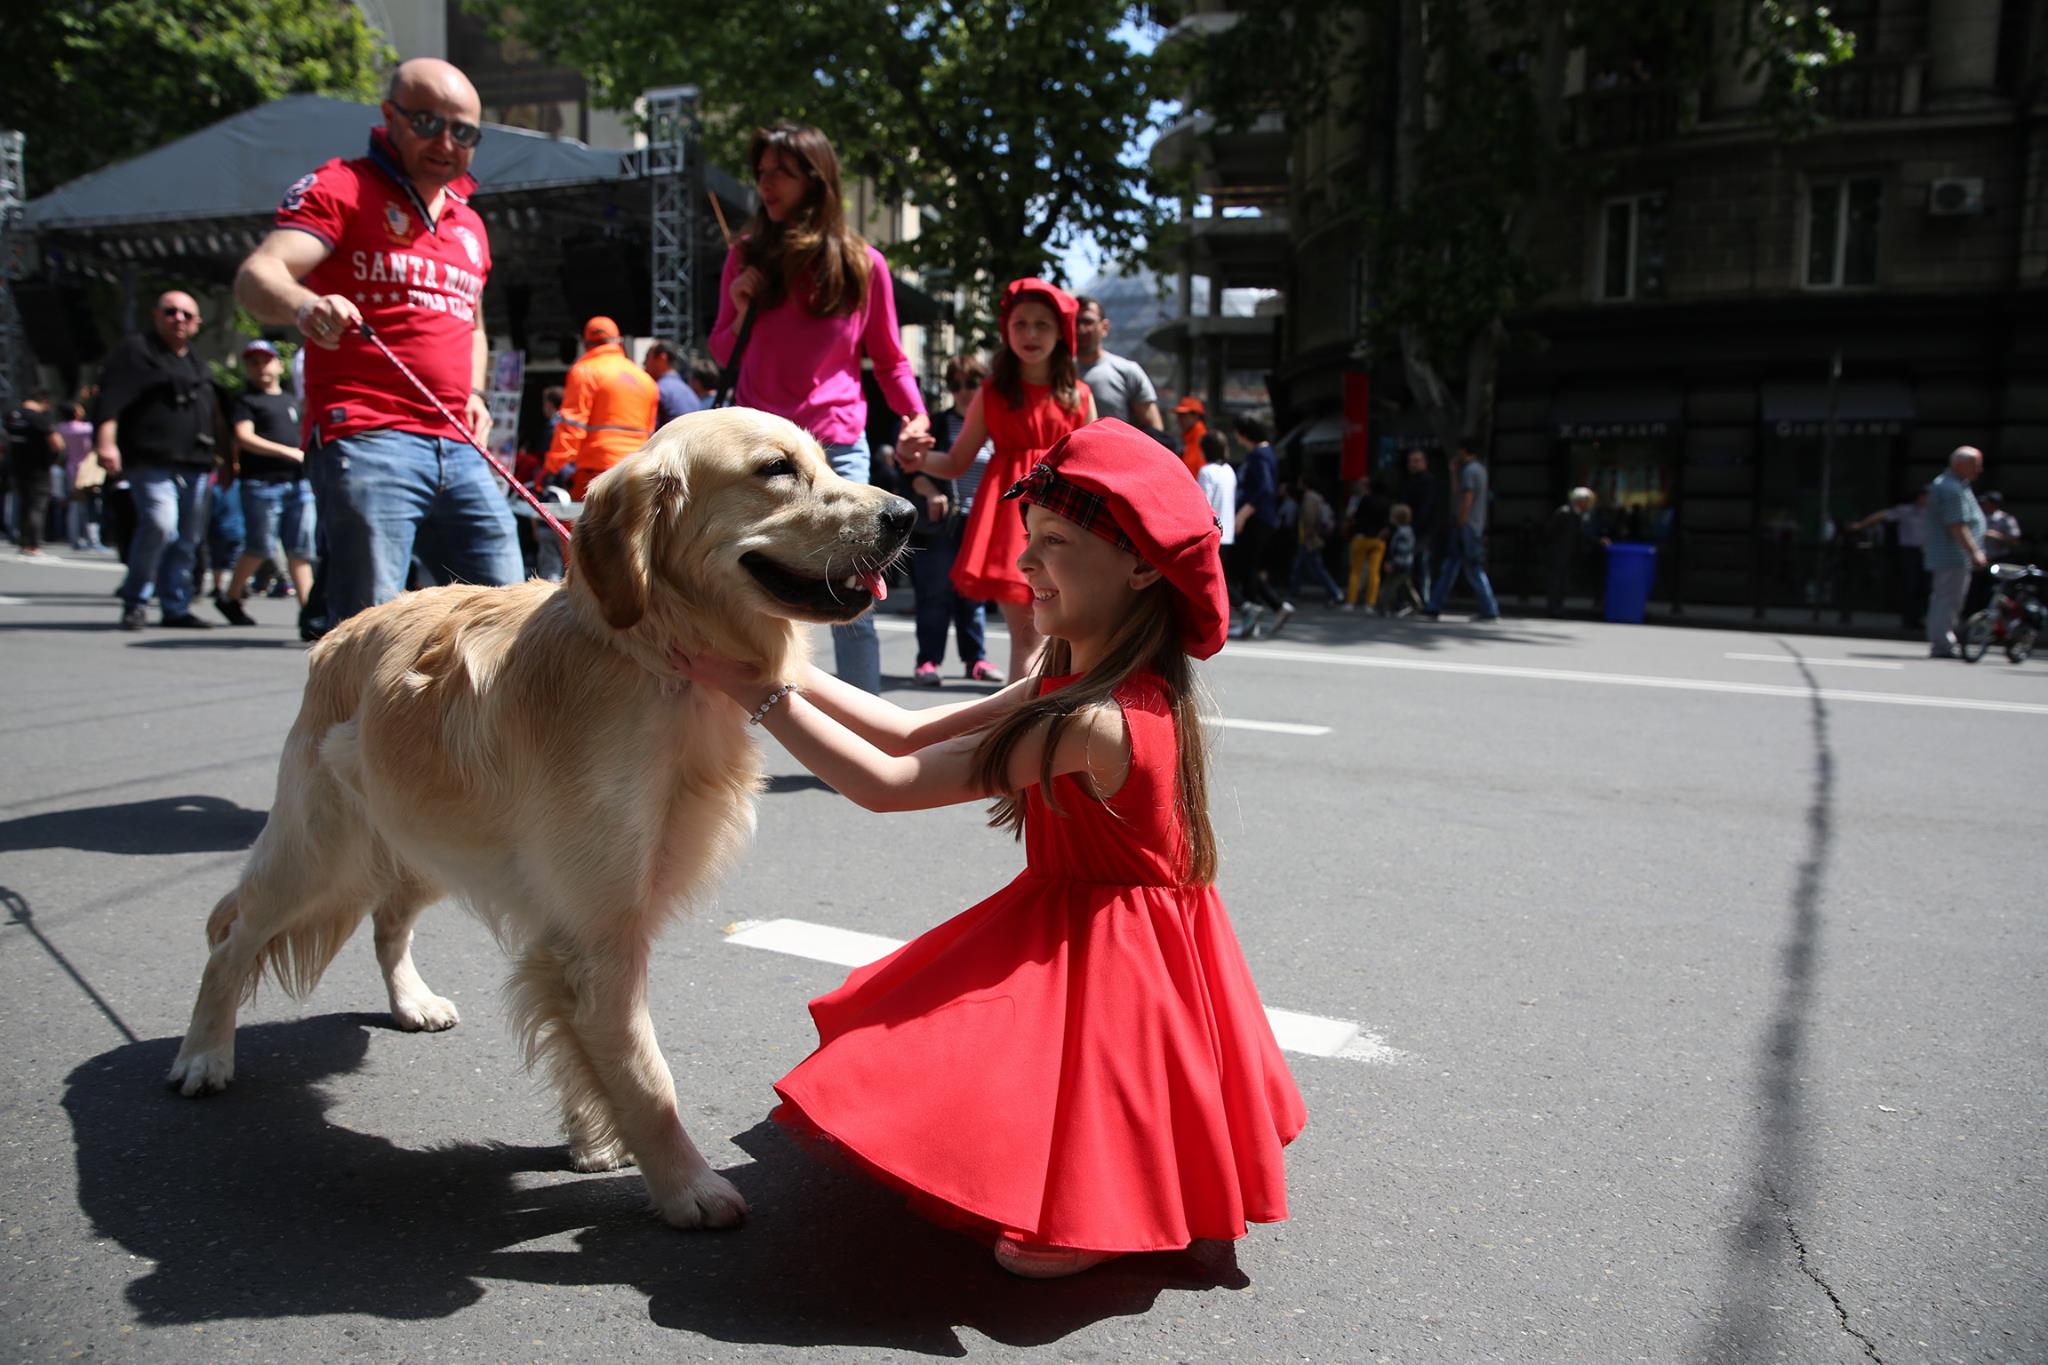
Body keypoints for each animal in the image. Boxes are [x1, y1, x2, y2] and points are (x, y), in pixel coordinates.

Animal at [163, 405, 917, 1227]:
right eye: (776, 469)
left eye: (829, 459)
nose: (908, 514)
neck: (650, 657)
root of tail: (336, 633)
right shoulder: (602, 930)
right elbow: (645, 1071)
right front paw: (685, 1186)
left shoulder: (577, 930)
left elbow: (589, 1052)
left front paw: (595, 1138)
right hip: (318, 853)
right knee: (231, 940)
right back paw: (203, 1055)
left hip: (426, 839)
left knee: (388, 920)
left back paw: (410, 1000)